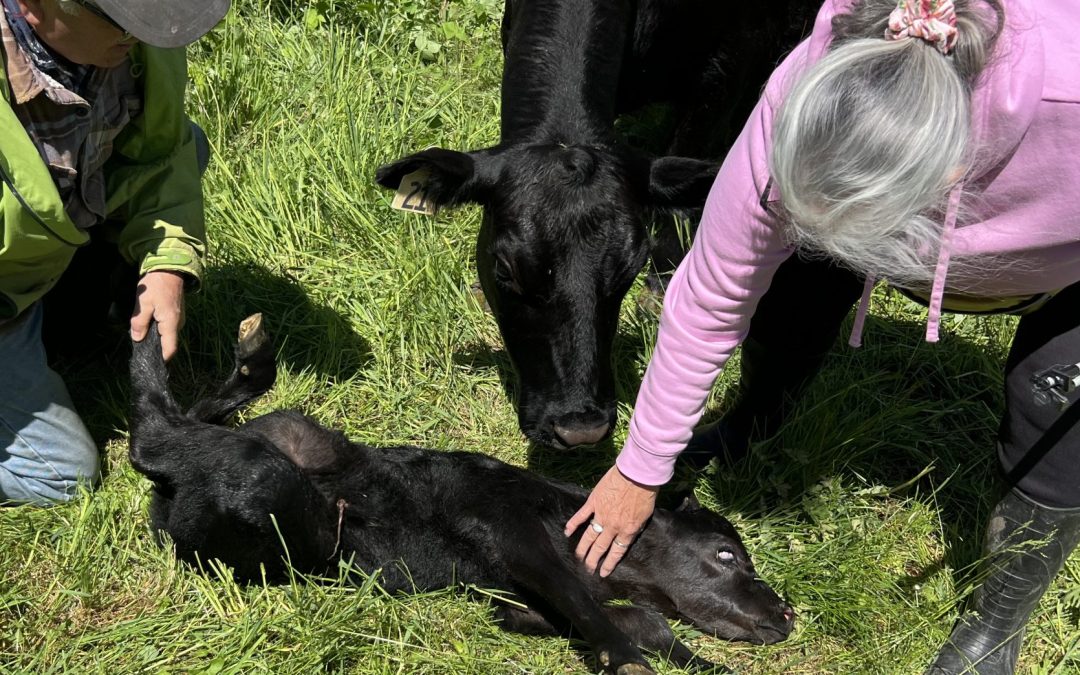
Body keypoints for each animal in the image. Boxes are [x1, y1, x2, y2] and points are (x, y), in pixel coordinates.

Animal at [130, 315, 799, 673]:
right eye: (726, 554)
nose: (787, 612)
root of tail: (165, 494)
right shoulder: (513, 533)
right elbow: (593, 609)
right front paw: (626, 658)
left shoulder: (511, 601)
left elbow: (639, 619)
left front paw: (698, 662)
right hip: (273, 491)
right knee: (153, 433)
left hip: (291, 436)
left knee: (194, 420)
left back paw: (249, 362)